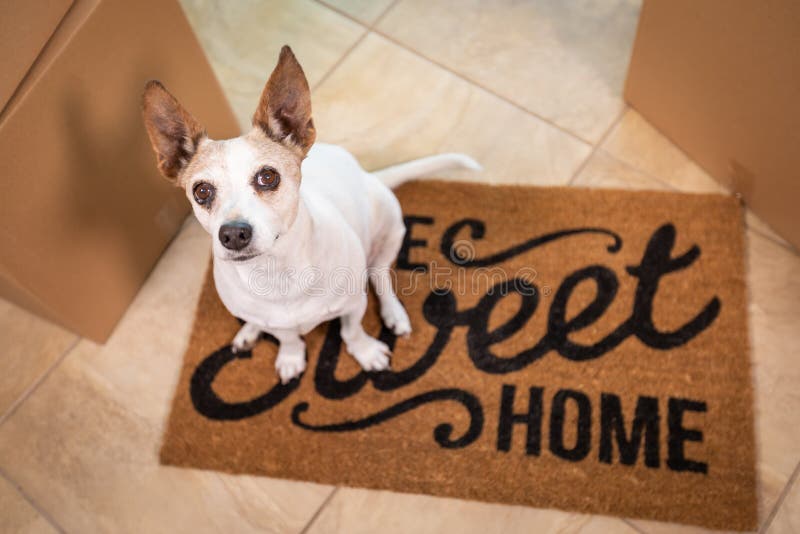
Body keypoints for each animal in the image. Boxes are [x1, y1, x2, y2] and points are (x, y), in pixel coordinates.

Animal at [143, 44, 478, 384]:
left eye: (267, 176)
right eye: (201, 191)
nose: (233, 234)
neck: (276, 274)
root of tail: (369, 175)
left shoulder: (353, 304)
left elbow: (351, 331)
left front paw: (366, 353)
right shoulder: (279, 324)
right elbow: (288, 337)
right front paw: (290, 356)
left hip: (390, 229)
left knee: (380, 275)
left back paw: (393, 313)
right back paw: (249, 330)